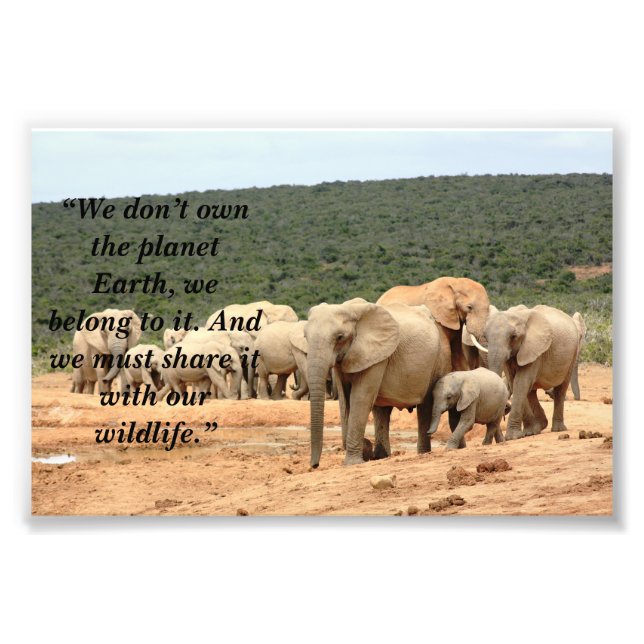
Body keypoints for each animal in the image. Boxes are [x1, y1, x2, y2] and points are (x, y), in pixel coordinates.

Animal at [305, 298, 451, 467]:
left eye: (340, 337)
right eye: (305, 337)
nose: (314, 465)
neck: (350, 309)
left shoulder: (377, 356)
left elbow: (360, 398)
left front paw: (353, 463)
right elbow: (345, 399)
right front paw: (364, 452)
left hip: (439, 358)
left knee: (425, 407)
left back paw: (423, 454)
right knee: (381, 410)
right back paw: (382, 456)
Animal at [481, 305, 580, 440]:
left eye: (513, 336)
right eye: (485, 337)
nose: (506, 407)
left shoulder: (535, 350)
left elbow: (521, 383)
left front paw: (513, 437)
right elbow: (515, 383)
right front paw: (528, 433)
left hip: (573, 354)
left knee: (561, 389)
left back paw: (558, 429)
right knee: (531, 392)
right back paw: (538, 427)